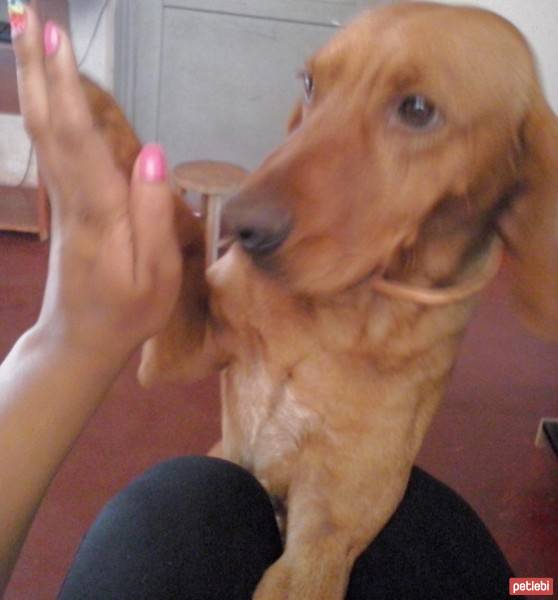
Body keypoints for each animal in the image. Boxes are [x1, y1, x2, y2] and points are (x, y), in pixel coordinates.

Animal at [83, 2, 558, 596]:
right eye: (309, 83)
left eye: (418, 110)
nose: (240, 225)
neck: (337, 317)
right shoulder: (184, 353)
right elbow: (184, 237)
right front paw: (103, 123)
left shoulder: (323, 540)